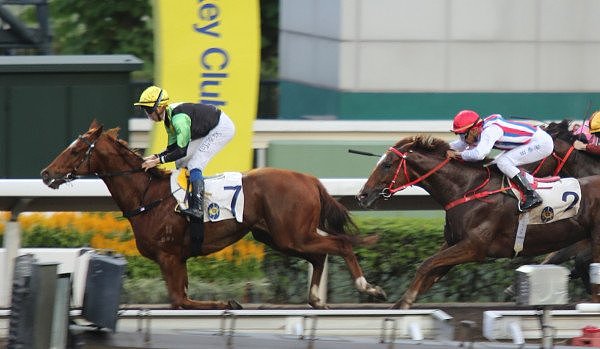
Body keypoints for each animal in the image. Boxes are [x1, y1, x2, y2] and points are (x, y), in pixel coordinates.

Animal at [39, 120, 386, 310]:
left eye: (75, 150)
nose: (45, 173)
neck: (147, 196)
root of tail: (310, 180)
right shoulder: (178, 258)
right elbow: (182, 297)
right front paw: (228, 301)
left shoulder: (168, 256)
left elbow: (179, 300)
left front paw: (227, 302)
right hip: (279, 237)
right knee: (319, 255)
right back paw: (316, 298)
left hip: (292, 235)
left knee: (339, 244)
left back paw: (368, 287)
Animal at [356, 135, 600, 308]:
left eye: (387, 164)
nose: (362, 195)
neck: (467, 189)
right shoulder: (454, 243)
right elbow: (429, 271)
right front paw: (395, 303)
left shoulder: (474, 247)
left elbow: (426, 265)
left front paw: (403, 302)